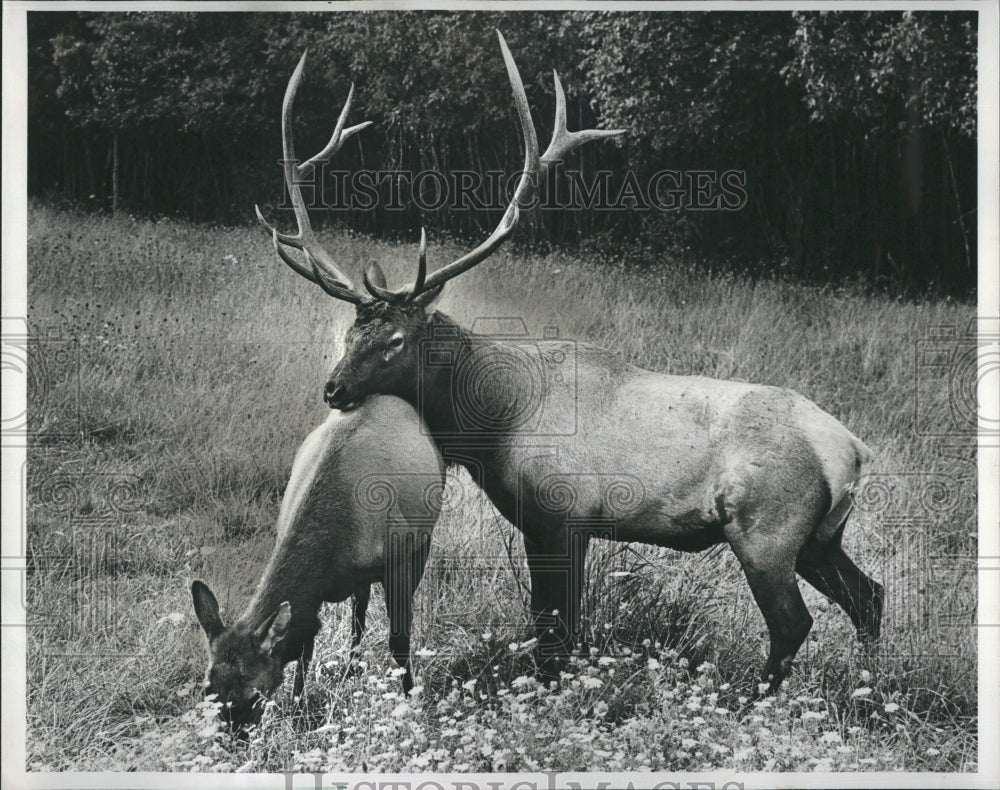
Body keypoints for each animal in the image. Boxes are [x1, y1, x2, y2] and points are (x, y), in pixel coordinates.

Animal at [193, 396, 444, 732]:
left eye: (254, 693)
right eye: (207, 690)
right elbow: (305, 646)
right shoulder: (312, 597)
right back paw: (352, 667)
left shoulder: (400, 558)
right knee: (359, 607)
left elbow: (399, 640)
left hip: (423, 535)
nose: (235, 737)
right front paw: (298, 713)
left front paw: (411, 701)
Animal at [256, 34, 884, 696]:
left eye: (396, 339)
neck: (491, 425)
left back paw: (753, 701)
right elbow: (557, 622)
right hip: (819, 537)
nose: (334, 388)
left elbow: (555, 626)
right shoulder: (556, 525)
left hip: (767, 529)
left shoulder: (560, 516)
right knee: (870, 596)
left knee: (794, 621)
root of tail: (852, 450)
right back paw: (869, 690)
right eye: (351, 330)